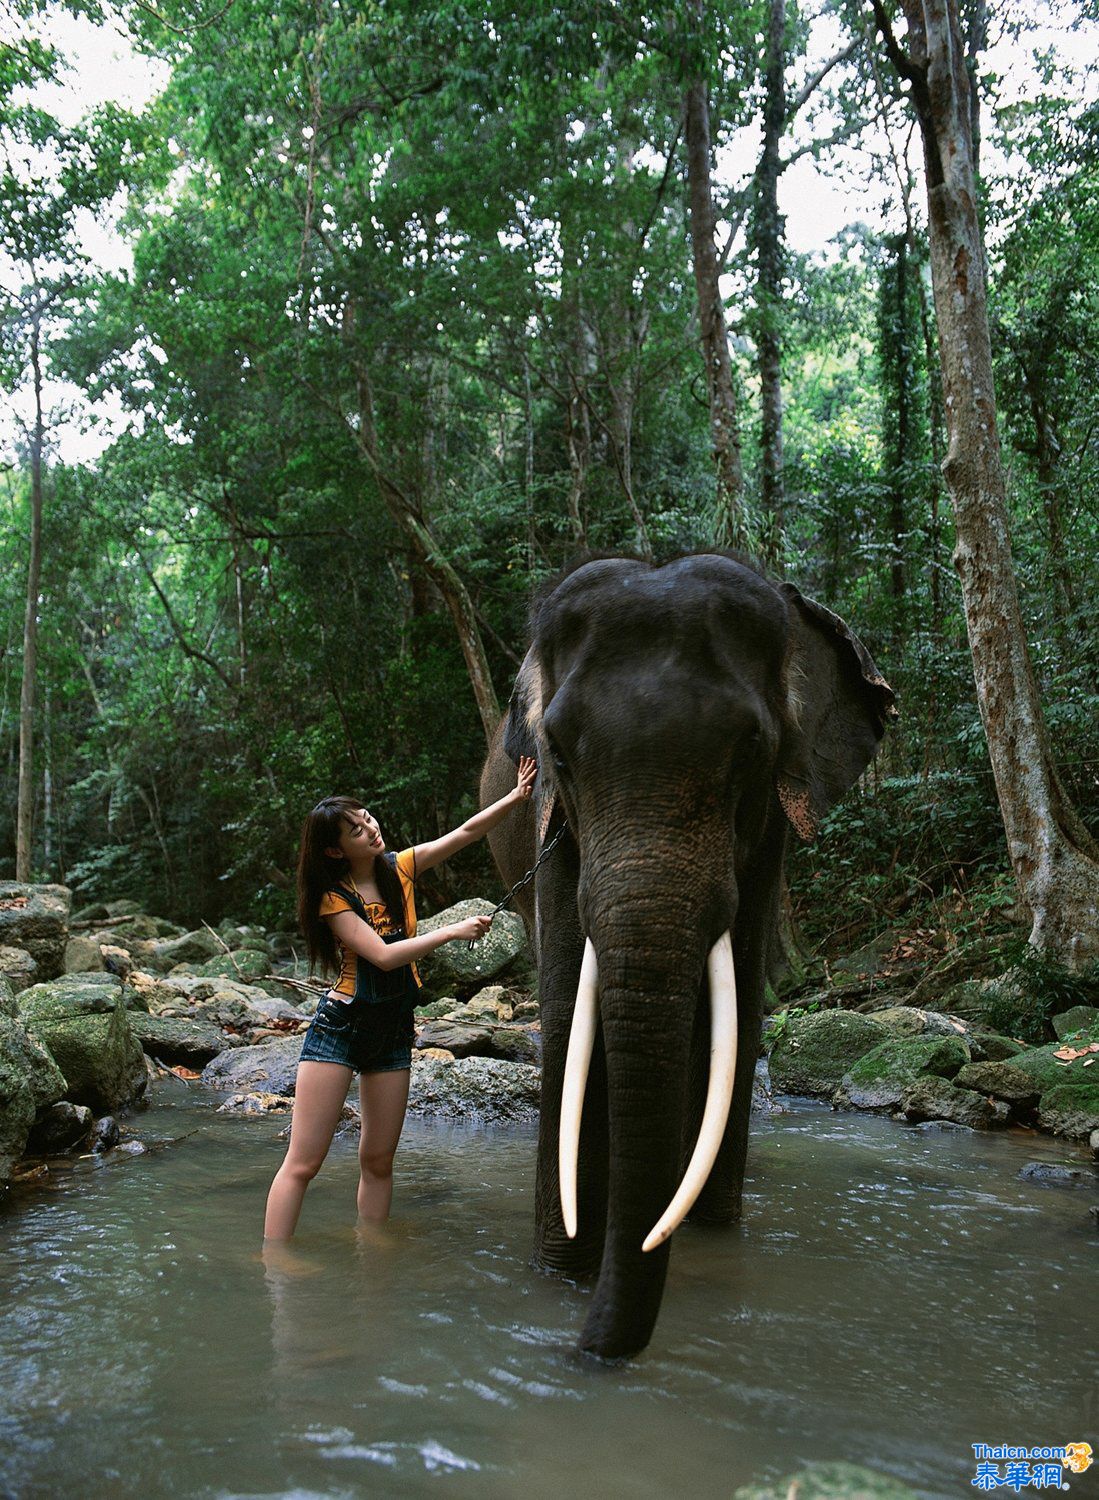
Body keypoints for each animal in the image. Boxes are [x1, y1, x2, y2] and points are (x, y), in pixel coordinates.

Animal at [476, 552, 893, 1362]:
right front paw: (561, 1269)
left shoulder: (769, 835)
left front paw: (702, 1236)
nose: (587, 1347)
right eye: (558, 754)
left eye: (753, 751)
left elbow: (738, 1010)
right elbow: (566, 1008)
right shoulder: (552, 828)